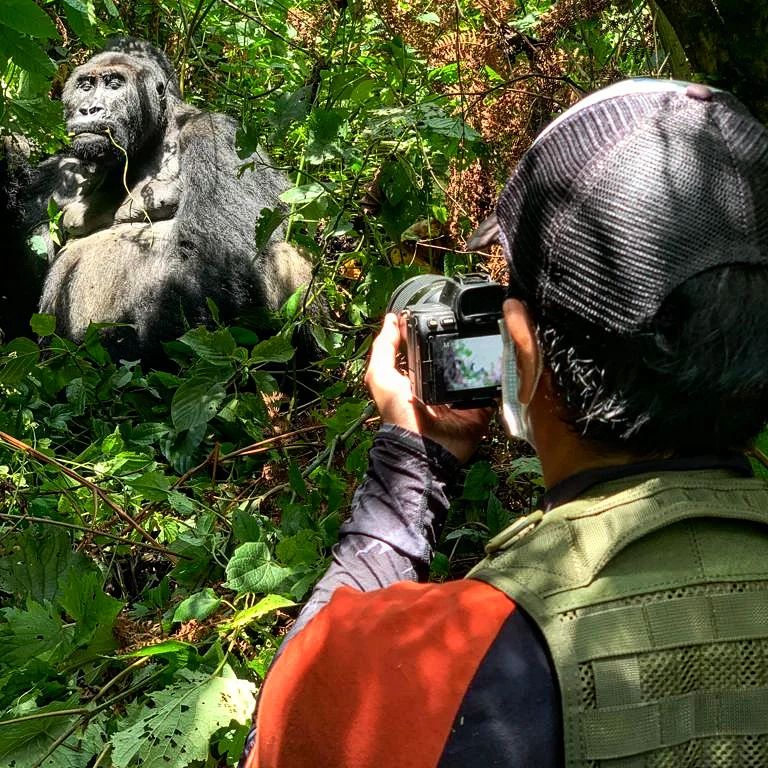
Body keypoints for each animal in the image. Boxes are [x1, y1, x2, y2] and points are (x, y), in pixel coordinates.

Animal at [0, 39, 312, 366]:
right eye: (85, 85)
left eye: (114, 84)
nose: (89, 109)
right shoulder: (62, 171)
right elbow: (24, 294)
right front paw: (7, 168)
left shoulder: (218, 136)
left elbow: (216, 257)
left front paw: (120, 347)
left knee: (284, 256)